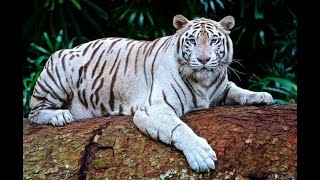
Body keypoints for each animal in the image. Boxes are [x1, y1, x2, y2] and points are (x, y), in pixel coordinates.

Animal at [28, 14, 272, 172]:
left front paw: (261, 96)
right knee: (34, 112)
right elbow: (178, 128)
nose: (203, 59)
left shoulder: (220, 88)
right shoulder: (154, 108)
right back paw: (59, 115)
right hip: (58, 71)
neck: (204, 82)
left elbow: (237, 90)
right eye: (192, 40)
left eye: (213, 40)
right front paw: (201, 156)